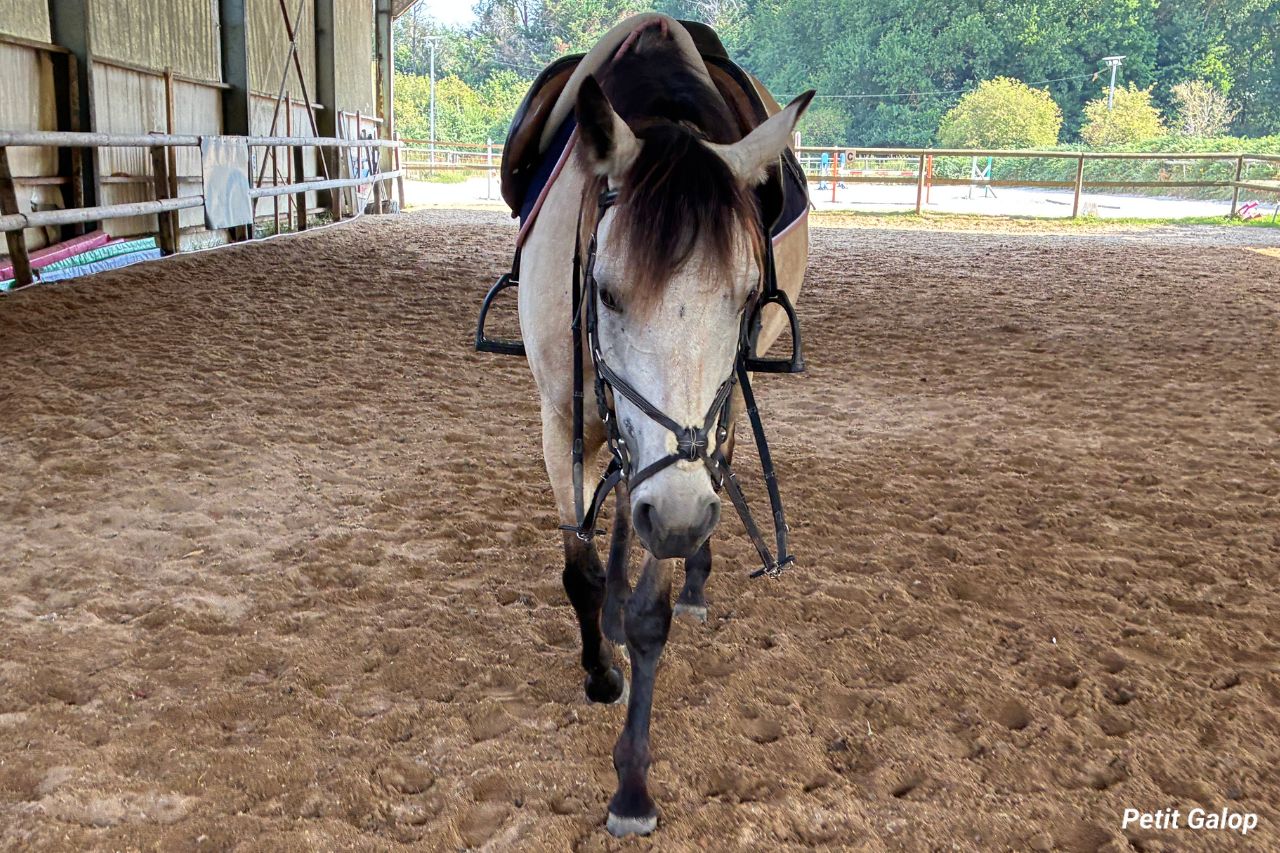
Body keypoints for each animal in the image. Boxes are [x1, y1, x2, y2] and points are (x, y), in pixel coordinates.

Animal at [511, 15, 811, 836]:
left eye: (745, 295)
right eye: (607, 292)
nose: (677, 518)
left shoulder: (687, 462)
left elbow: (652, 614)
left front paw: (633, 787)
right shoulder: (559, 418)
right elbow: (579, 569)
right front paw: (599, 671)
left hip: (723, 420)